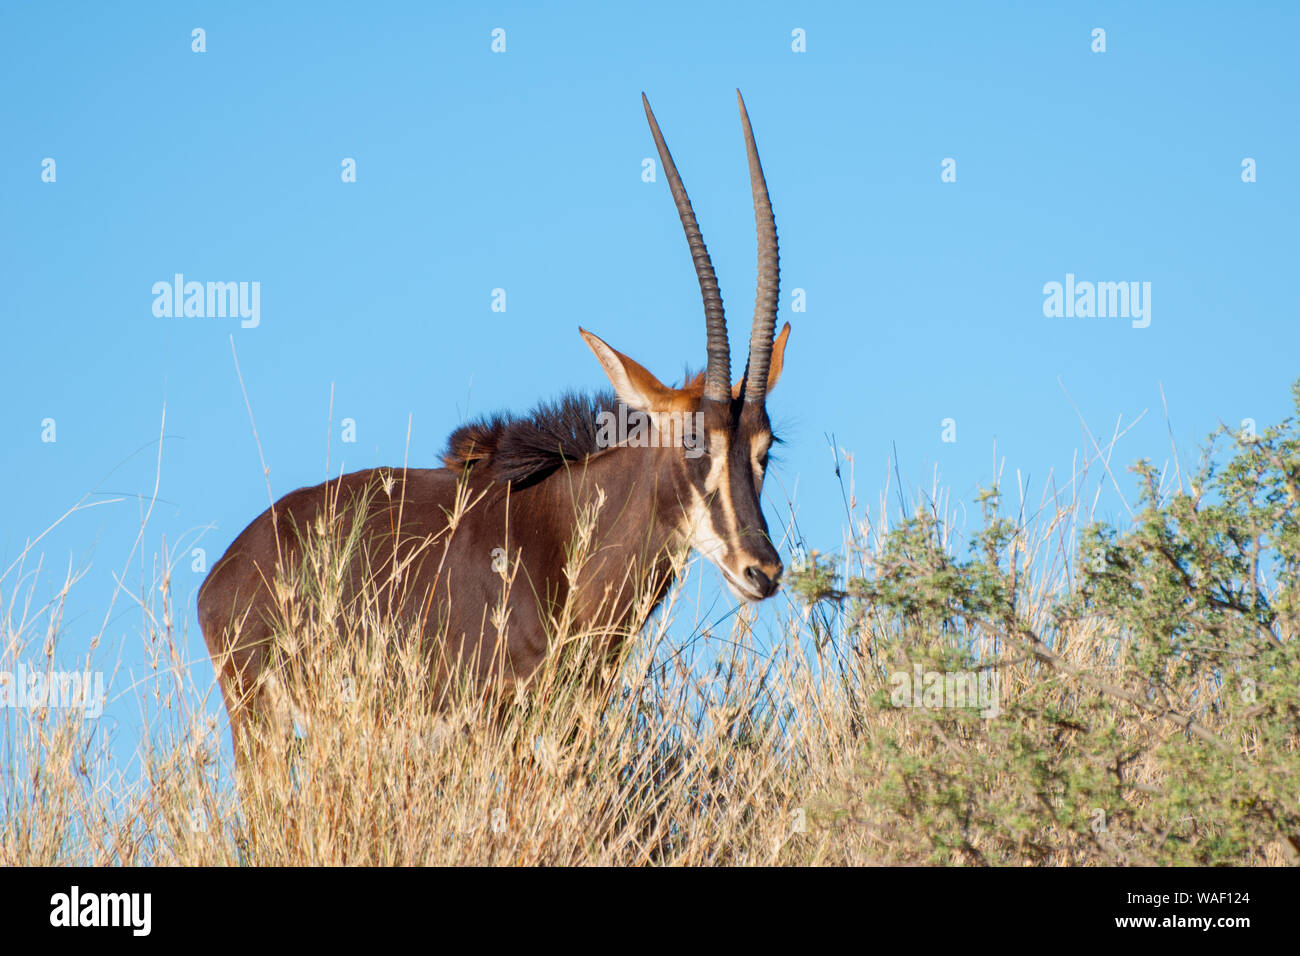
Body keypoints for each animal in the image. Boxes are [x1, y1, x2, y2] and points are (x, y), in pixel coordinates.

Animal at [198, 91, 790, 764]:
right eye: (694, 443)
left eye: (765, 450)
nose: (762, 571)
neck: (564, 537)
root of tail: (224, 571)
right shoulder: (487, 723)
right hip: (260, 720)